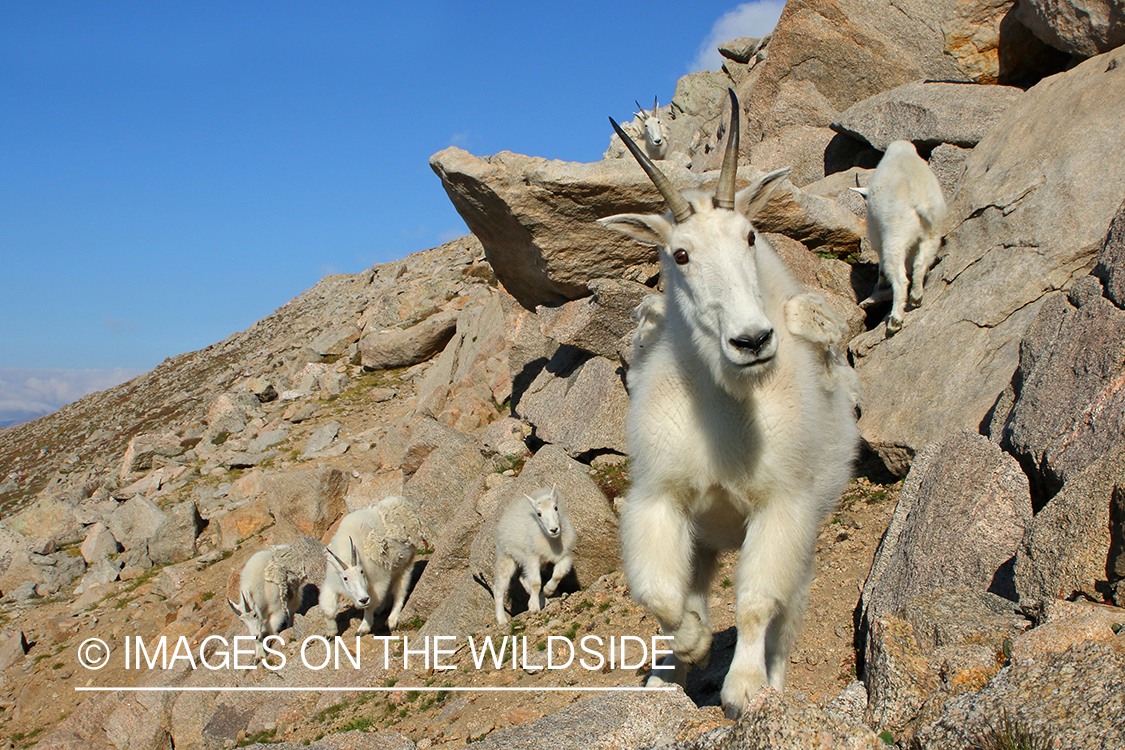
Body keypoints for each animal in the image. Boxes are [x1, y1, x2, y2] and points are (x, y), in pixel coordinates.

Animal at [322, 496, 426, 635]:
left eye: (361, 571)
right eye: (345, 578)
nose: (363, 599)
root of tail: (402, 502)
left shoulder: (377, 581)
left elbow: (370, 605)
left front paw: (363, 628)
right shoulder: (333, 582)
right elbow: (328, 610)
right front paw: (330, 633)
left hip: (405, 563)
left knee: (400, 591)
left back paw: (392, 620)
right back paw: (381, 608)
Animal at [493, 485, 577, 625]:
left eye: (556, 507)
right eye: (539, 514)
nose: (554, 529)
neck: (553, 542)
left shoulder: (565, 555)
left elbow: (558, 575)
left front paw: (548, 590)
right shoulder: (533, 557)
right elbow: (536, 583)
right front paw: (533, 606)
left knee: (523, 578)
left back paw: (544, 599)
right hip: (507, 556)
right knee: (499, 588)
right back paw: (502, 619)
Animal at [599, 89, 859, 717]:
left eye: (749, 236)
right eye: (680, 254)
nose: (752, 341)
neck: (726, 412)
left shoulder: (781, 506)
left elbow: (757, 602)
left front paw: (743, 689)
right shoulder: (660, 498)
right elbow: (661, 595)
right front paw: (689, 647)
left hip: (804, 537)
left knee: (788, 615)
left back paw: (774, 684)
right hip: (706, 541)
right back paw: (666, 680)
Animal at [851, 140, 947, 333]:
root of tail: (920, 202)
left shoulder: (875, 231)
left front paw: (881, 284)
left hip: (896, 235)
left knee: (900, 278)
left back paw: (895, 321)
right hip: (933, 231)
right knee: (921, 261)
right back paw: (916, 298)